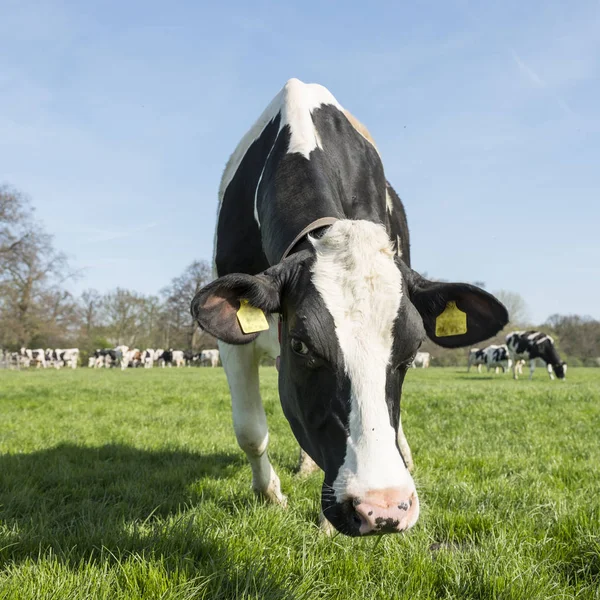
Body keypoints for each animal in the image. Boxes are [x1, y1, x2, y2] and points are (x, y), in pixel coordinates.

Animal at [190, 78, 508, 536]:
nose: (383, 507)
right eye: (302, 345)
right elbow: (250, 429)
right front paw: (272, 495)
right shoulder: (234, 339)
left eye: (413, 349)